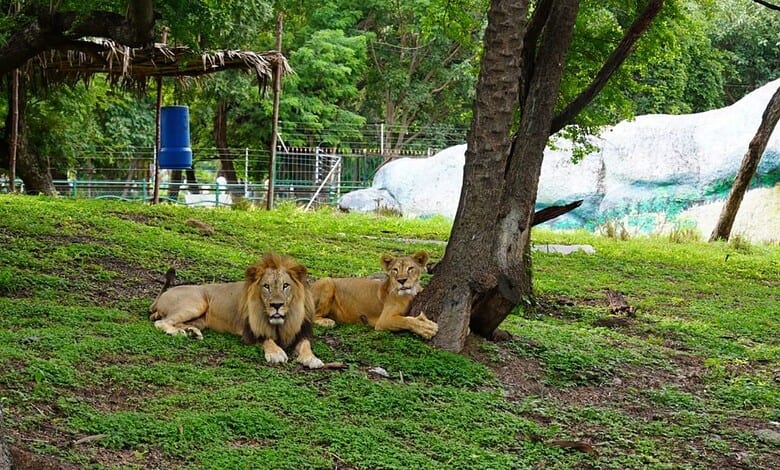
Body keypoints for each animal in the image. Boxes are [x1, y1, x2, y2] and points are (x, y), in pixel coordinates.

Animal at [149, 252, 324, 369]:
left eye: (285, 285)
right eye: (266, 286)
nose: (276, 305)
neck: (284, 321)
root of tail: (163, 294)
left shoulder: (302, 331)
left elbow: (306, 344)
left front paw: (312, 359)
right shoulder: (250, 331)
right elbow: (266, 338)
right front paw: (276, 354)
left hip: (201, 319)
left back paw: (192, 332)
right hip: (196, 303)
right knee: (161, 322)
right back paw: (179, 332)